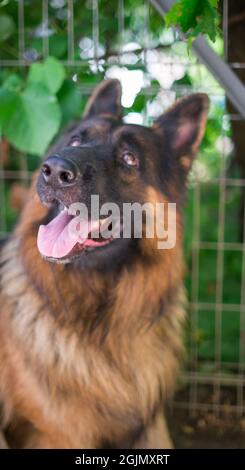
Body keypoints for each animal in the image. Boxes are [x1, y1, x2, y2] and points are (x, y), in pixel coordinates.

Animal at [0, 80, 209, 448]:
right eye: (75, 140)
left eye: (129, 158)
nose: (55, 169)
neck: (102, 324)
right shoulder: (56, 432)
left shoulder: (150, 427)